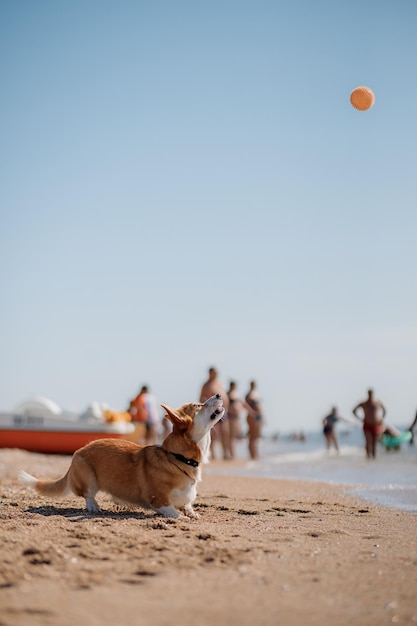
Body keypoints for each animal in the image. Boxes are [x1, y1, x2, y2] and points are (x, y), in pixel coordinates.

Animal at [19, 394, 224, 516]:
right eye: (197, 405)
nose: (219, 394)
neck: (178, 458)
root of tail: (80, 450)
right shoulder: (158, 500)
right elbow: (173, 511)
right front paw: (181, 516)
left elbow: (188, 506)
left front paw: (192, 513)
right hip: (89, 478)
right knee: (87, 494)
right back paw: (94, 506)